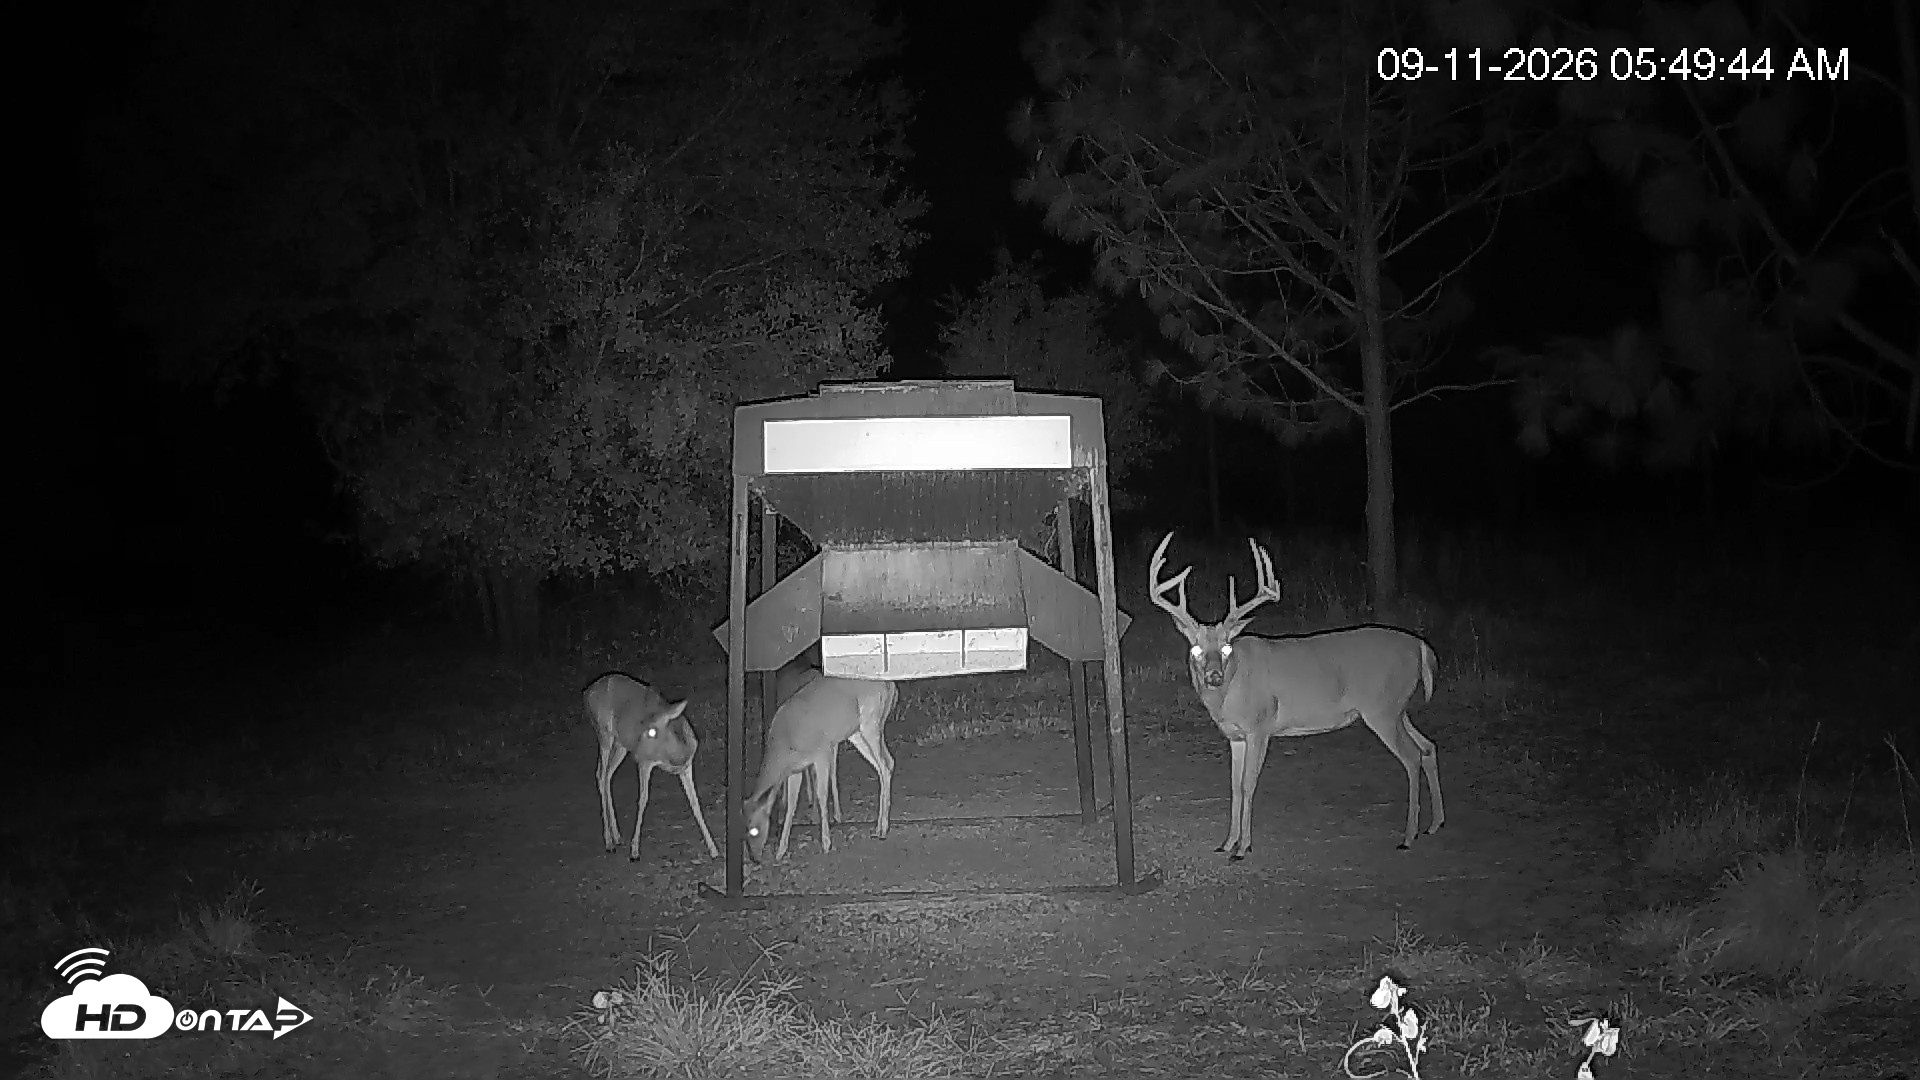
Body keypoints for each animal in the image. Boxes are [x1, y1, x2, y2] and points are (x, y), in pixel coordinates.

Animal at [581, 673, 721, 862]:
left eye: (652, 731)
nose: (636, 751)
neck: (677, 756)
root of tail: (586, 692)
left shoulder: (686, 766)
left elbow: (695, 802)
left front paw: (713, 849)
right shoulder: (645, 762)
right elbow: (643, 799)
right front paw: (634, 851)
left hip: (620, 744)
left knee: (606, 774)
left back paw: (616, 837)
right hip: (603, 732)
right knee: (601, 774)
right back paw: (609, 842)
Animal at [743, 673, 897, 863]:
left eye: (754, 830)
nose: (755, 858)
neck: (785, 744)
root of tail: (891, 685)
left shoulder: (822, 751)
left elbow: (822, 794)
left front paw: (826, 843)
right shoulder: (795, 769)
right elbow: (791, 804)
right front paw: (780, 851)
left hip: (870, 723)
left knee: (884, 766)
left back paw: (882, 829)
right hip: (857, 733)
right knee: (887, 763)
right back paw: (879, 828)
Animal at [1148, 531, 1445, 857]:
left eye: (1226, 647)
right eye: (1196, 649)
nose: (1214, 676)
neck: (1230, 692)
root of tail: (1420, 646)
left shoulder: (1260, 726)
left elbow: (1248, 785)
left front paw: (1243, 847)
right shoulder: (1235, 736)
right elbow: (1234, 787)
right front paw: (1226, 843)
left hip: (1382, 709)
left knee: (1412, 756)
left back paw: (1408, 836)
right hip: (1398, 708)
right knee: (1428, 747)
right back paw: (1435, 824)